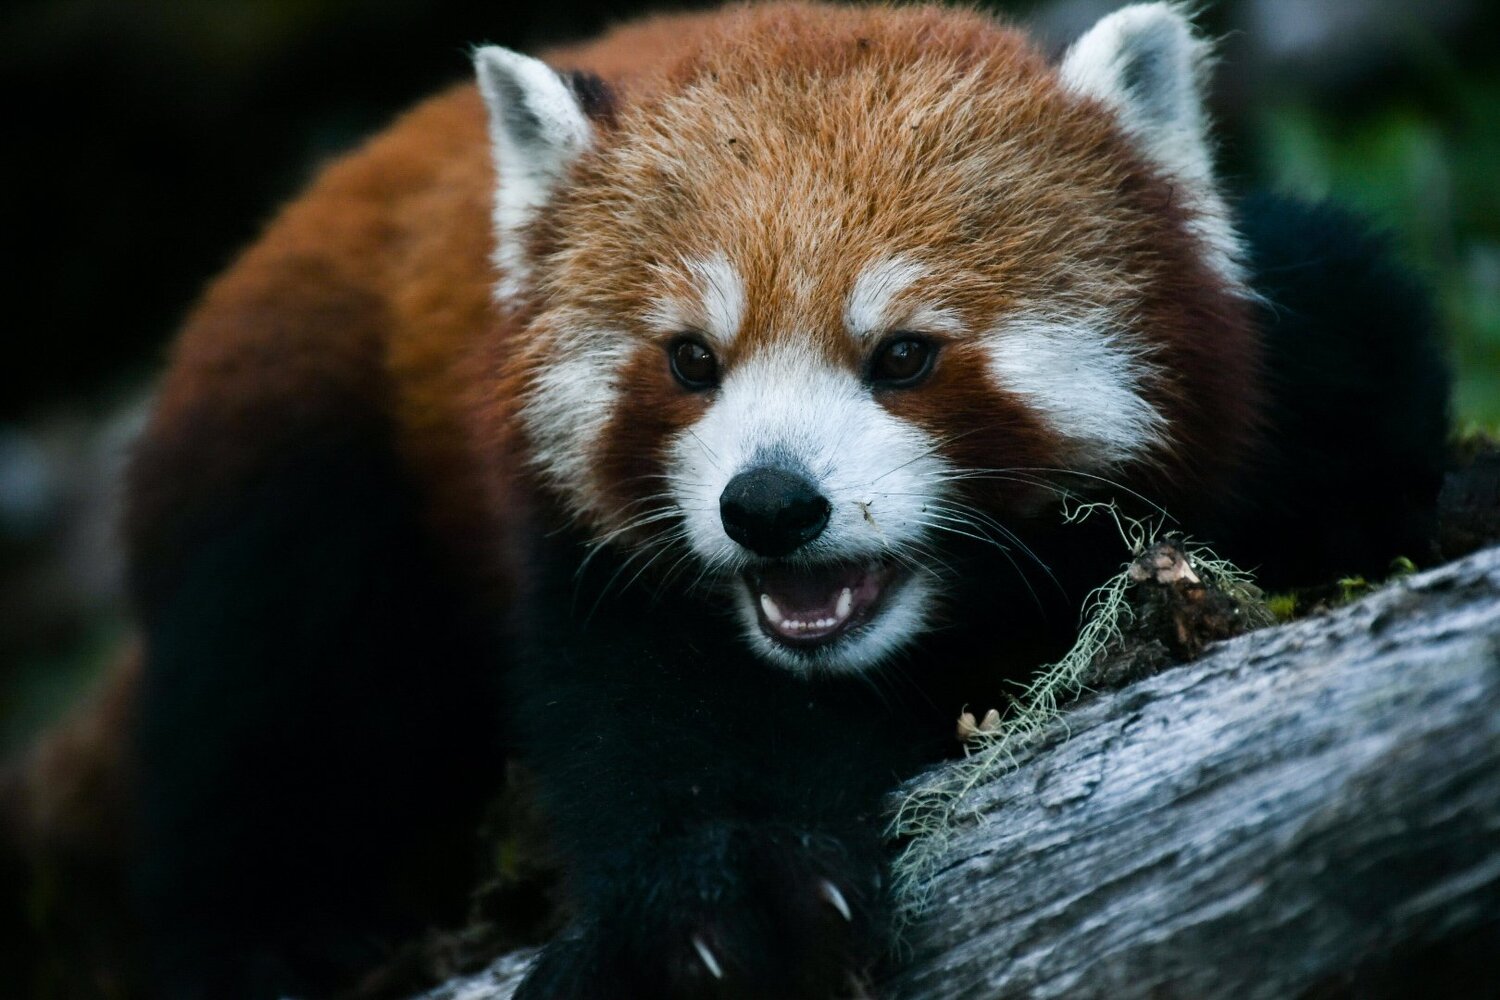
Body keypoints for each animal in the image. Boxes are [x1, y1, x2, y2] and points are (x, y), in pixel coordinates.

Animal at [82, 2, 1449, 997]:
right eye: (693, 360)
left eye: (903, 354)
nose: (771, 507)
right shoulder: (582, 556)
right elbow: (661, 727)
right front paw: (726, 893)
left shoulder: (1304, 341)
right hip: (302, 450)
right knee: (269, 685)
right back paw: (272, 939)